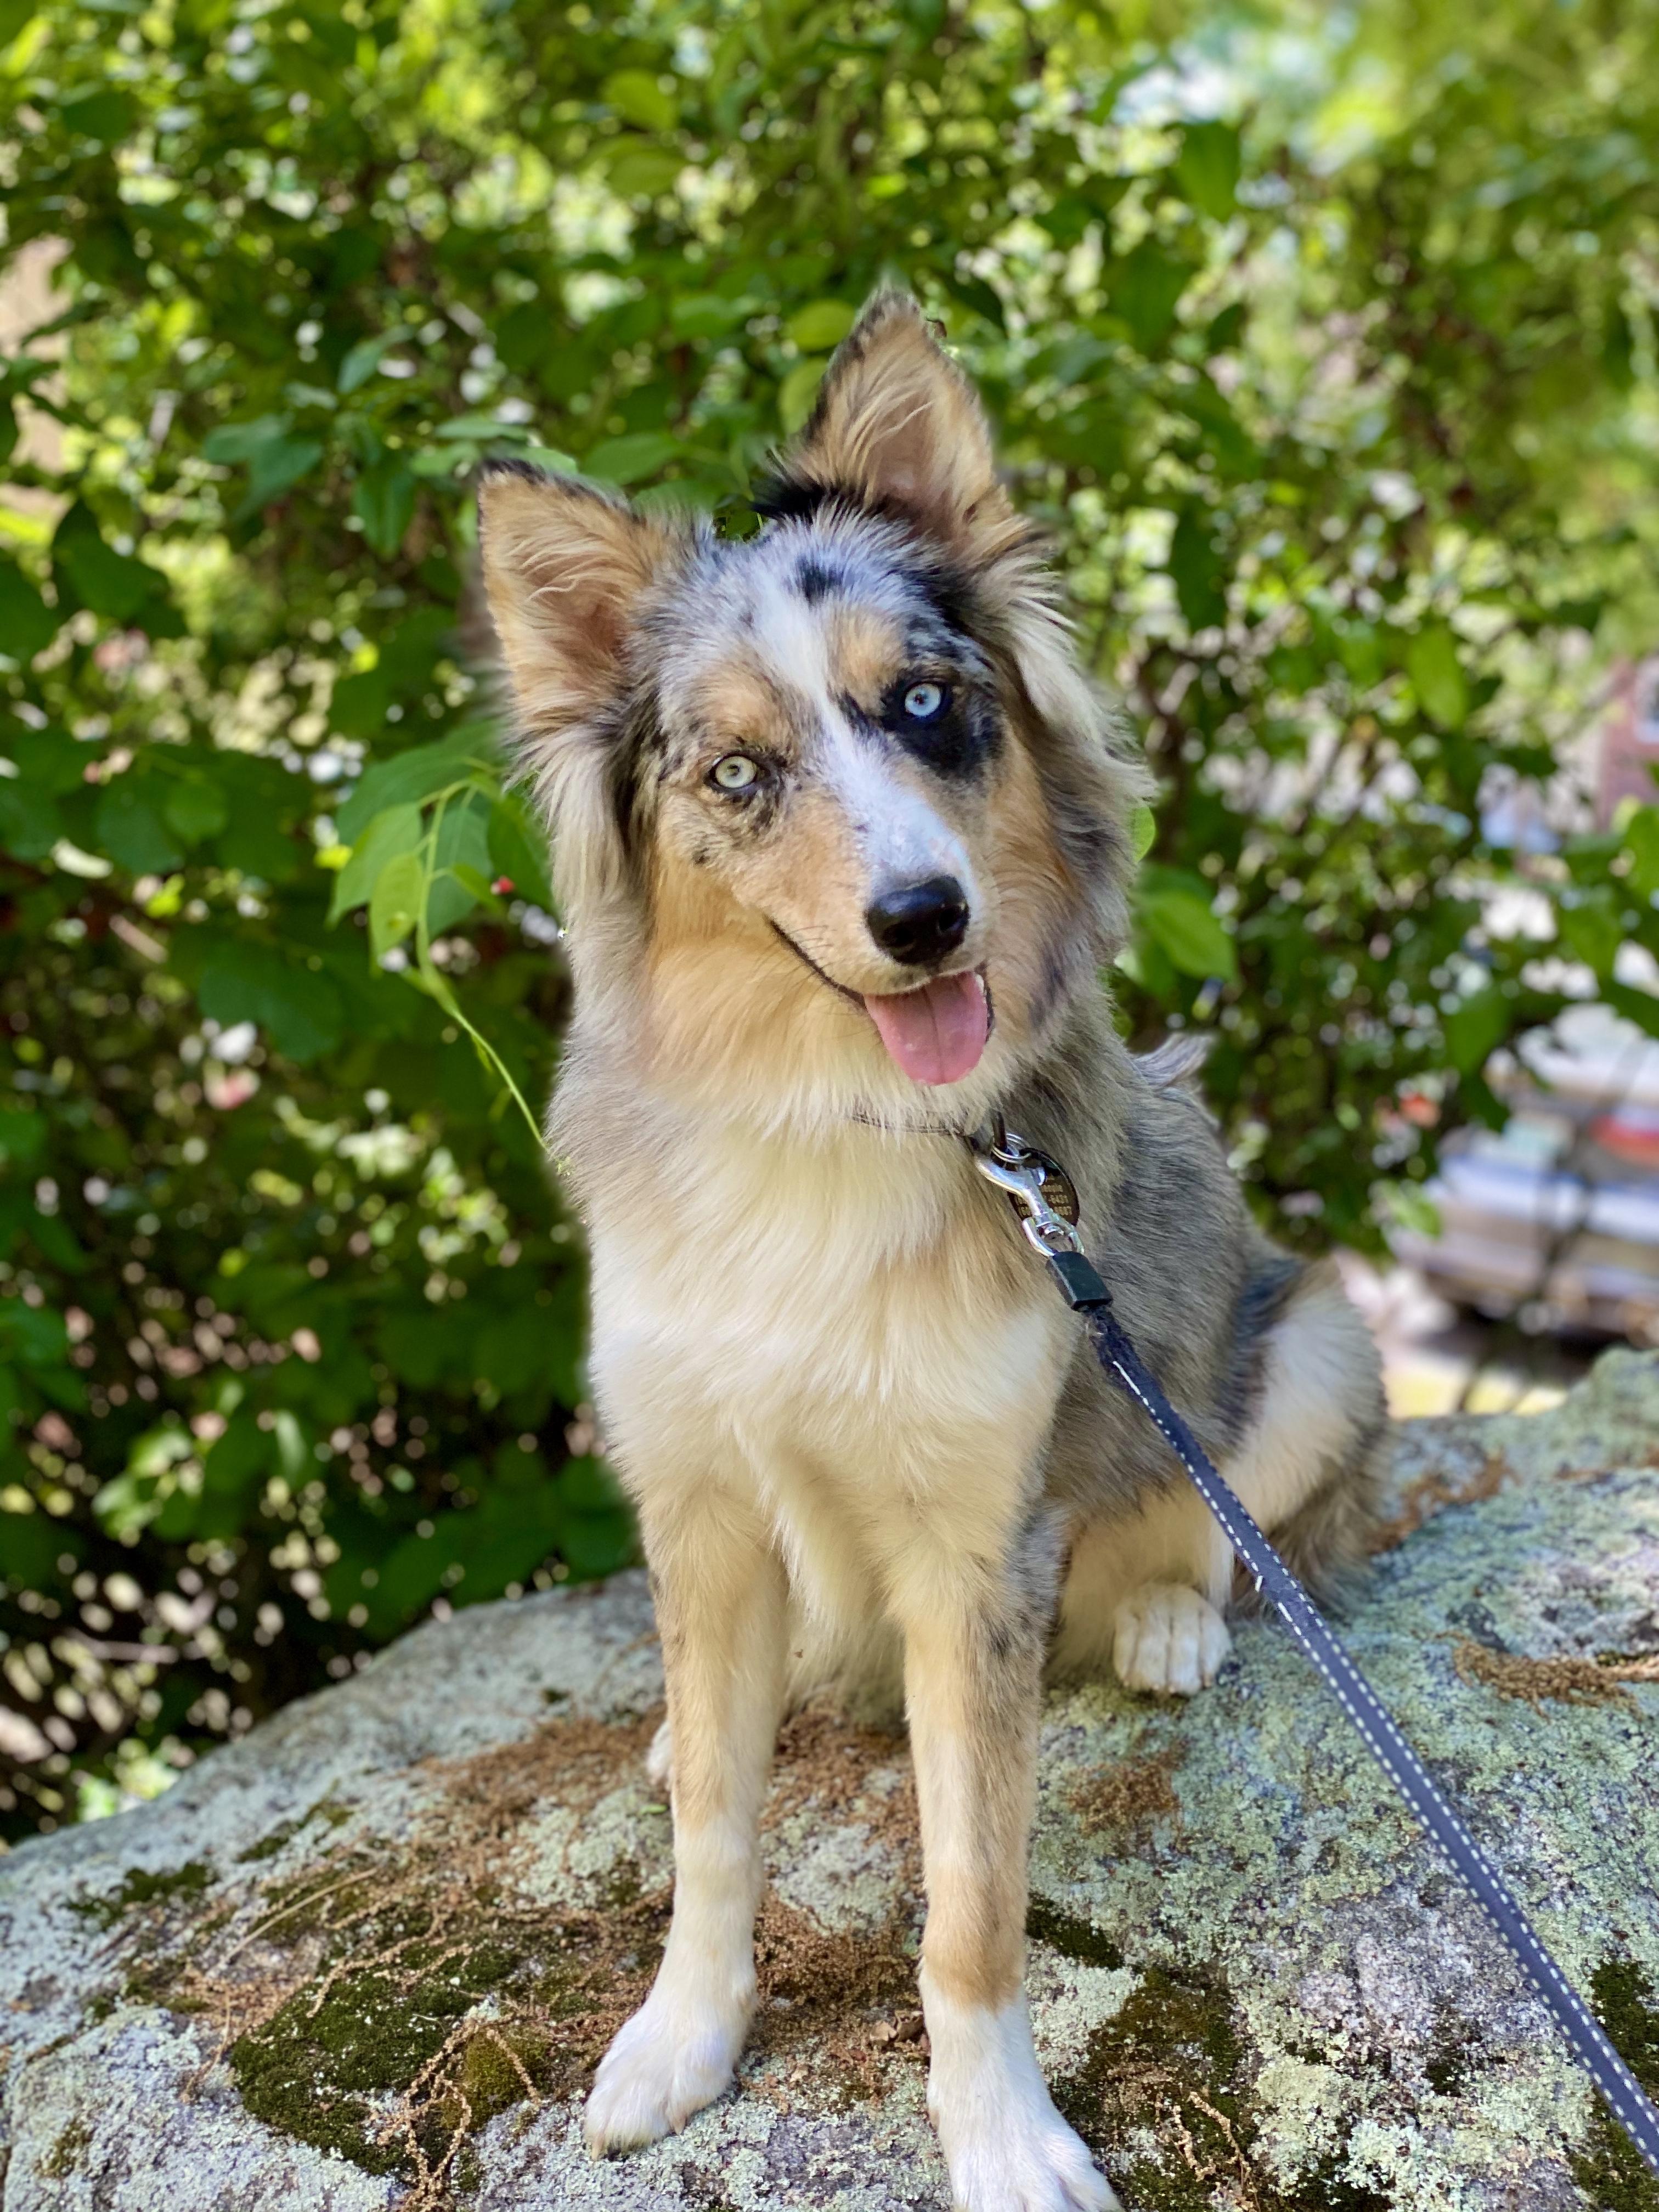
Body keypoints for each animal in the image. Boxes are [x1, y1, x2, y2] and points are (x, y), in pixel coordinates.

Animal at [476, 289, 1386, 2212]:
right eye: (740, 773)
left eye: (927, 707)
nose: (923, 918)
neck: (823, 1123)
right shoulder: (698, 1497)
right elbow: (716, 1831)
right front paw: (682, 2034)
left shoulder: (979, 1551)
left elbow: (972, 1901)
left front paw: (1002, 2135)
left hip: (1320, 1333)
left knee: (1224, 1527)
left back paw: (1174, 1622)